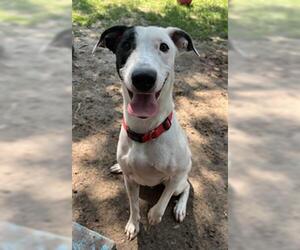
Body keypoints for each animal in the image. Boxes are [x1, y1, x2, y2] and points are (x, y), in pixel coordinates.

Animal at [92, 25, 198, 240]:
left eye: (164, 47)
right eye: (126, 45)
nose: (143, 78)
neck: (145, 132)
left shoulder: (176, 175)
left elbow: (163, 200)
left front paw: (155, 215)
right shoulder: (130, 181)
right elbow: (133, 206)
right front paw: (133, 225)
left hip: (182, 178)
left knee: (187, 187)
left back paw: (180, 208)